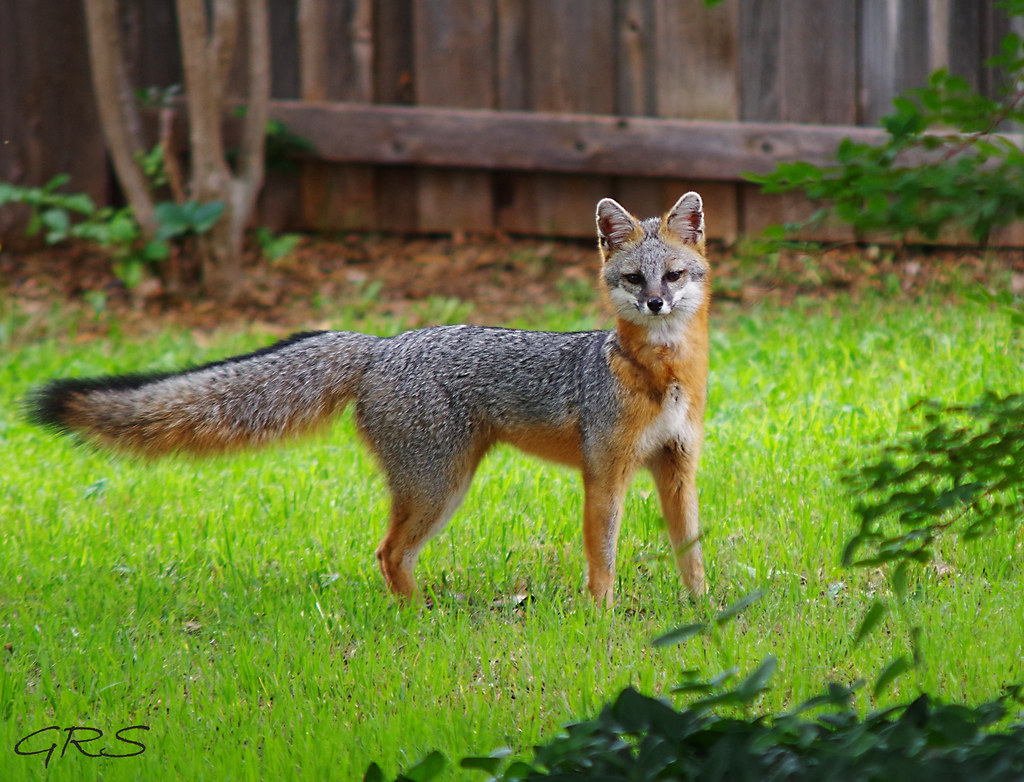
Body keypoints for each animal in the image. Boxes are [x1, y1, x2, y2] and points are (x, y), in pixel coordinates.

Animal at [26, 193, 711, 606]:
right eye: (633, 278)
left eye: (673, 275)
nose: (657, 303)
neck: (663, 374)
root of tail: (381, 346)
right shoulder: (605, 472)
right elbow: (604, 558)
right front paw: (601, 618)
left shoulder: (677, 467)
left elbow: (691, 551)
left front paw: (703, 611)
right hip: (440, 486)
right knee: (387, 553)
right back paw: (422, 617)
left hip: (440, 485)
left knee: (390, 554)